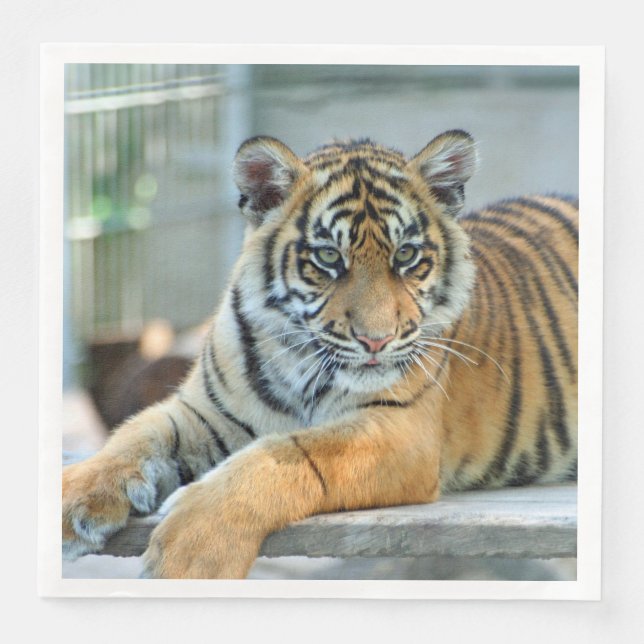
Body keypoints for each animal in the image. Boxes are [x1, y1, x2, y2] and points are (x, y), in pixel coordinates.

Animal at [62, 130, 578, 579]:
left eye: (406, 256)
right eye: (329, 258)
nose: (377, 340)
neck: (300, 362)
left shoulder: (402, 430)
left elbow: (286, 454)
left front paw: (190, 554)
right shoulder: (204, 411)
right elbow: (134, 436)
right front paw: (70, 499)